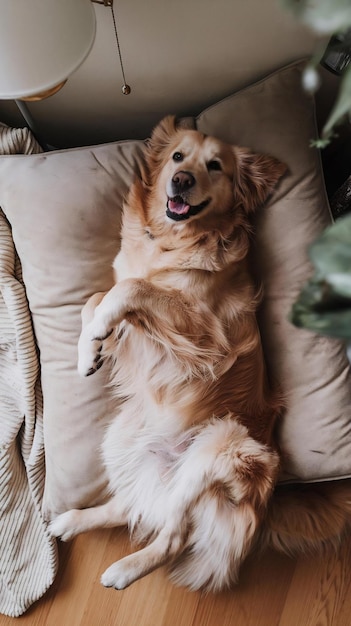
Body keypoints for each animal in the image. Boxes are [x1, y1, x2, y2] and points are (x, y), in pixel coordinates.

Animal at [49, 116, 351, 588]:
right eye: (177, 156)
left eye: (215, 166)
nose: (181, 180)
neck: (172, 241)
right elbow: (97, 296)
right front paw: (89, 352)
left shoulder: (205, 333)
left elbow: (129, 288)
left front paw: (98, 332)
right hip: (122, 438)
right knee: (132, 507)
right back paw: (72, 521)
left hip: (218, 450)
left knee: (172, 535)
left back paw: (122, 570)